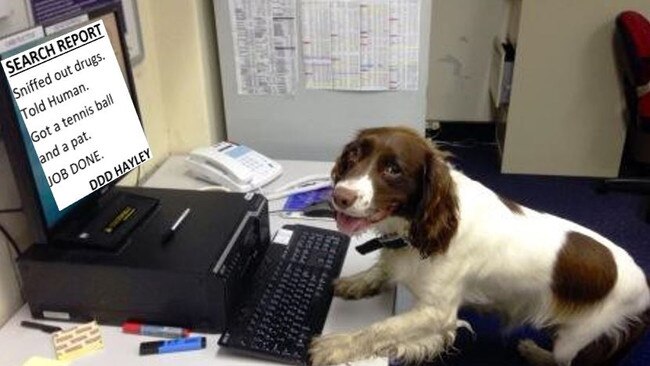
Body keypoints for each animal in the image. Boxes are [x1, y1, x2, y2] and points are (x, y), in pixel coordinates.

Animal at [308, 126, 648, 366]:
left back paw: (537, 354)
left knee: (565, 360)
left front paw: (337, 345)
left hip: (576, 339)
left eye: (393, 169)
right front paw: (356, 282)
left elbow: (382, 328)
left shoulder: (437, 313)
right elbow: (380, 269)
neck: (419, 231)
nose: (339, 196)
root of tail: (645, 286)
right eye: (353, 156)